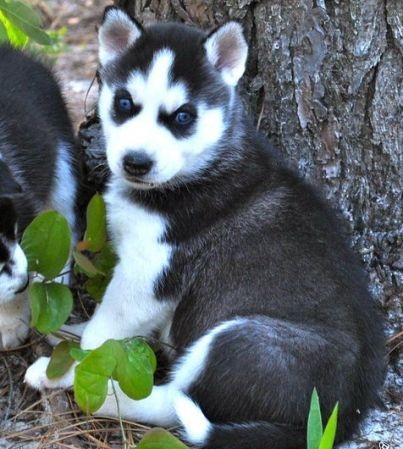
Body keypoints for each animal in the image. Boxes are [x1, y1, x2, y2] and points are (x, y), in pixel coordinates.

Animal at [24, 7, 386, 448]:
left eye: (183, 116)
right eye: (124, 103)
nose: (136, 162)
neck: (197, 171)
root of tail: (343, 417)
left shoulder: (151, 272)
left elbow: (106, 330)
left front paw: (75, 364)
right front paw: (73, 330)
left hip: (238, 342)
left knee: (174, 402)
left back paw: (91, 391)